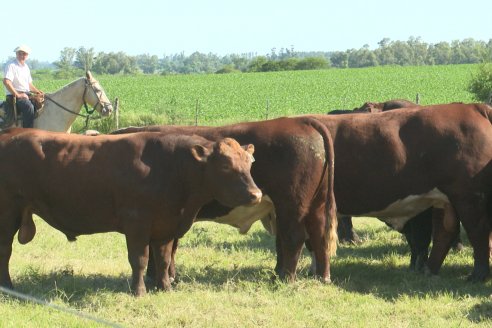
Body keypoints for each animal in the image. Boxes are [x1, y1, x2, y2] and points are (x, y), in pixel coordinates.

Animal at [0, 127, 262, 294]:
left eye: (249, 163)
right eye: (225, 165)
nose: (256, 194)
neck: (172, 167)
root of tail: (10, 132)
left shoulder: (165, 225)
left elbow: (163, 259)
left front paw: (165, 287)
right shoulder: (136, 223)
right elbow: (140, 260)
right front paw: (139, 291)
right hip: (8, 213)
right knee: (5, 251)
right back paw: (8, 287)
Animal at [110, 115, 338, 282]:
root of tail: (300, 120)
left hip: (291, 205)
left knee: (294, 237)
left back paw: (285, 279)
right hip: (315, 205)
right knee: (319, 235)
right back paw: (322, 276)